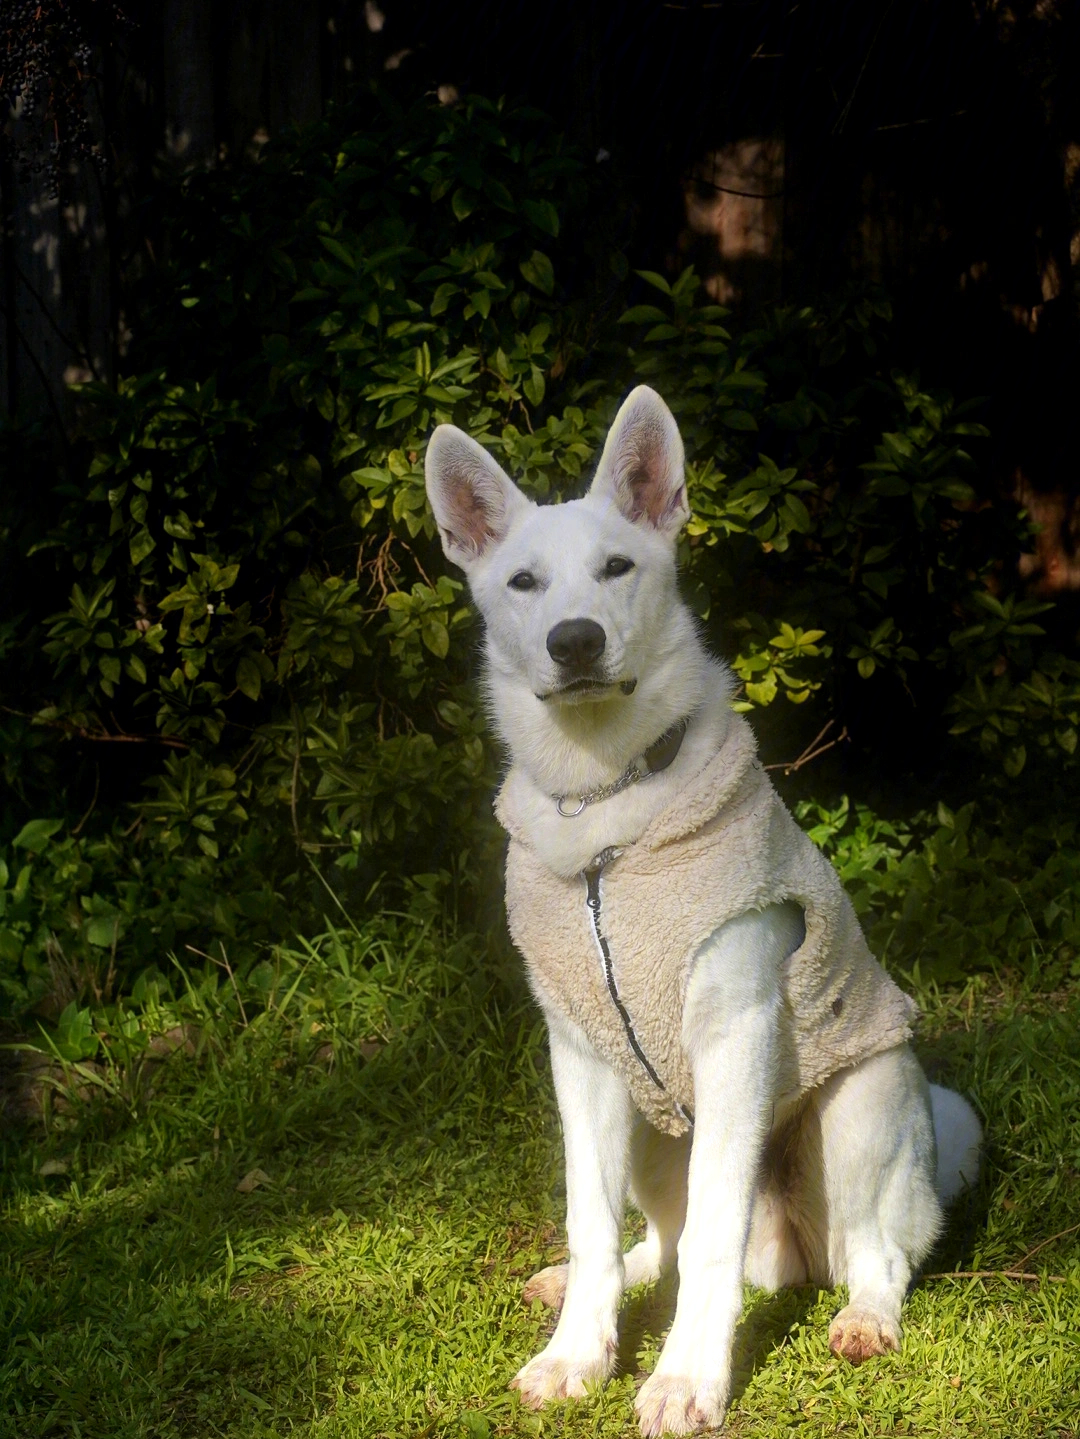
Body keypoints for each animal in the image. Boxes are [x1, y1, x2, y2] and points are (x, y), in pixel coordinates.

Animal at [425, 388, 983, 1433]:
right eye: (522, 582)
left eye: (618, 567)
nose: (574, 640)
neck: (607, 807)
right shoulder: (581, 1050)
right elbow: (591, 1219)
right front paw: (578, 1352)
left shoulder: (735, 1029)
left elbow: (718, 1235)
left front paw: (687, 1377)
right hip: (654, 1129)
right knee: (660, 1241)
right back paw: (590, 1279)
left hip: (861, 1108)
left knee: (876, 1252)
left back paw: (864, 1317)